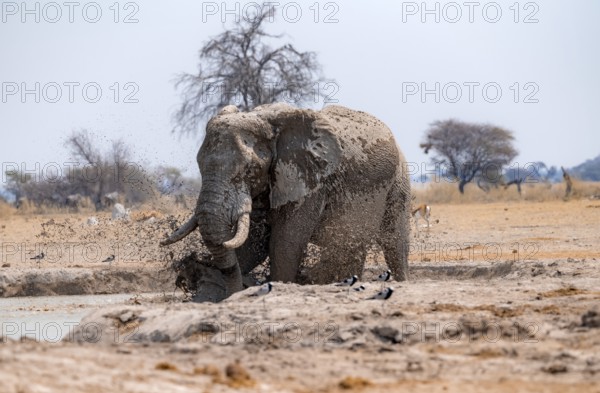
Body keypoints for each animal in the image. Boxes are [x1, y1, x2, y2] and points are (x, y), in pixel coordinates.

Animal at [162, 102, 410, 298]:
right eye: (199, 164)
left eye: (248, 169)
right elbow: (255, 243)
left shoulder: (310, 183)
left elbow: (284, 242)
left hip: (399, 182)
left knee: (394, 244)